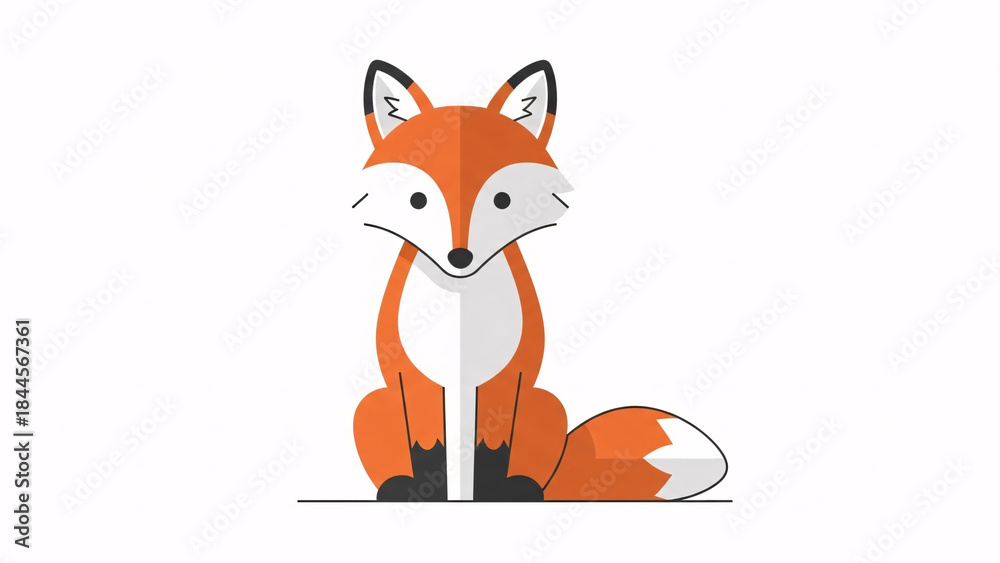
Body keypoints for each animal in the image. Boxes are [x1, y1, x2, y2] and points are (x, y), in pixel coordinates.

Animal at [352, 60, 727, 501]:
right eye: (418, 201)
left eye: (502, 200)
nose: (459, 258)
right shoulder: (416, 381)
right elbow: (430, 448)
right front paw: (430, 491)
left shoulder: (503, 381)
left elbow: (490, 447)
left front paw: (488, 492)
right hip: (371, 406)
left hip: (546, 404)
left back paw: (522, 488)